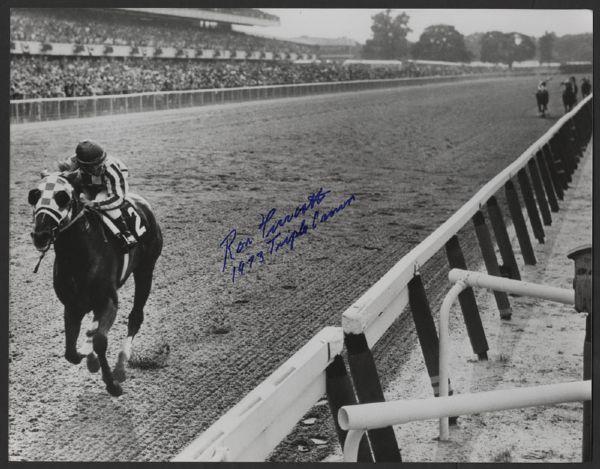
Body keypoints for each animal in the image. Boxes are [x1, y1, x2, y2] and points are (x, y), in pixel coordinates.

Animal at [28, 172, 162, 394]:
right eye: (35, 195)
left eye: (62, 197)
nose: (41, 235)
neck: (77, 256)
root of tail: (143, 203)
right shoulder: (72, 306)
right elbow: (70, 352)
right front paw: (86, 353)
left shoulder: (109, 301)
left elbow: (100, 341)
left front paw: (112, 384)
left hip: (145, 270)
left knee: (135, 317)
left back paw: (120, 367)